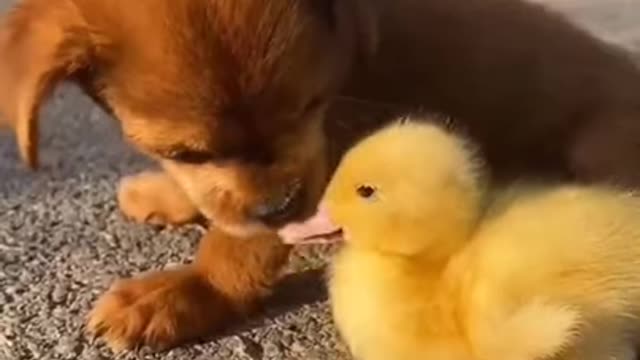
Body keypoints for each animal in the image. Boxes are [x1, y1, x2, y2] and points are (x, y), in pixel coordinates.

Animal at [1, 0, 640, 352]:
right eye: (185, 151)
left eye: (309, 105)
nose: (282, 205)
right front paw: (165, 195)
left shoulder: (336, 141)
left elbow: (241, 245)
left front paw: (191, 290)